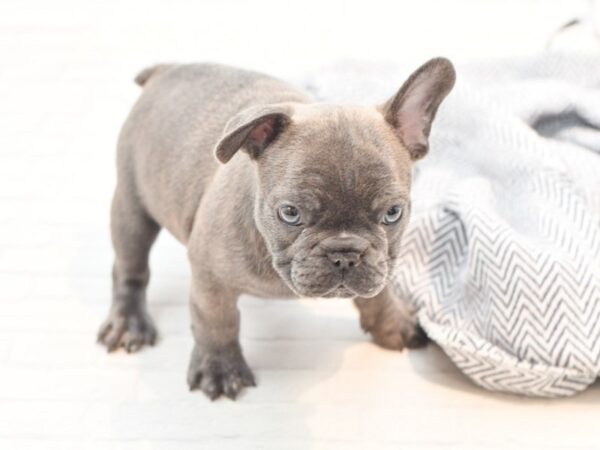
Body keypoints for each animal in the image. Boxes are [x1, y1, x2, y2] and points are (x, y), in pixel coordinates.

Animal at [97, 58, 454, 400]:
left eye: (393, 213)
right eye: (290, 213)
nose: (345, 254)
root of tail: (165, 70)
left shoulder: (381, 263)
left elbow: (379, 294)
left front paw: (393, 323)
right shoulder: (209, 275)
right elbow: (217, 321)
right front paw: (220, 368)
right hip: (132, 206)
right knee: (130, 267)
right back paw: (129, 322)